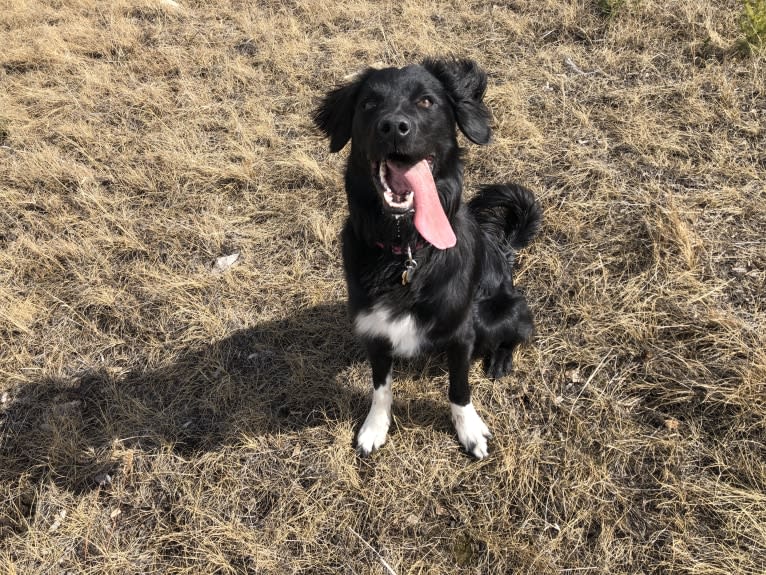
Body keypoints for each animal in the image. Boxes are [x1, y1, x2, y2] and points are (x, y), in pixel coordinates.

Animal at [316, 58, 544, 460]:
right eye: (368, 104)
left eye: (426, 101)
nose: (393, 126)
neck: (405, 250)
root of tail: (504, 251)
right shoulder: (374, 330)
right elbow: (381, 386)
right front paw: (375, 427)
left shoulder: (461, 332)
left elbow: (459, 388)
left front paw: (470, 431)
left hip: (496, 312)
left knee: (519, 330)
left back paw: (501, 360)